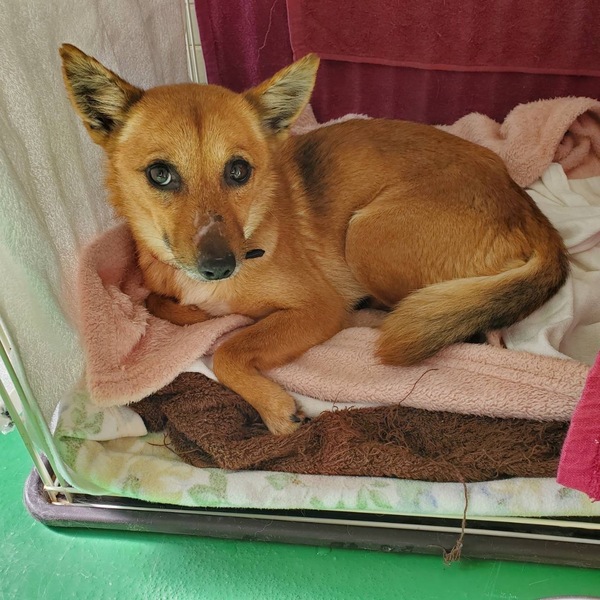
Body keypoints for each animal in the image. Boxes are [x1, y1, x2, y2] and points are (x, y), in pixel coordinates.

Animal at [60, 44, 569, 435]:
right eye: (160, 174)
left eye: (238, 170)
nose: (220, 266)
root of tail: (529, 209)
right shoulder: (164, 287)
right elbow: (160, 303)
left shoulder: (315, 308)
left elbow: (228, 349)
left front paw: (274, 407)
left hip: (366, 234)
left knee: (472, 327)